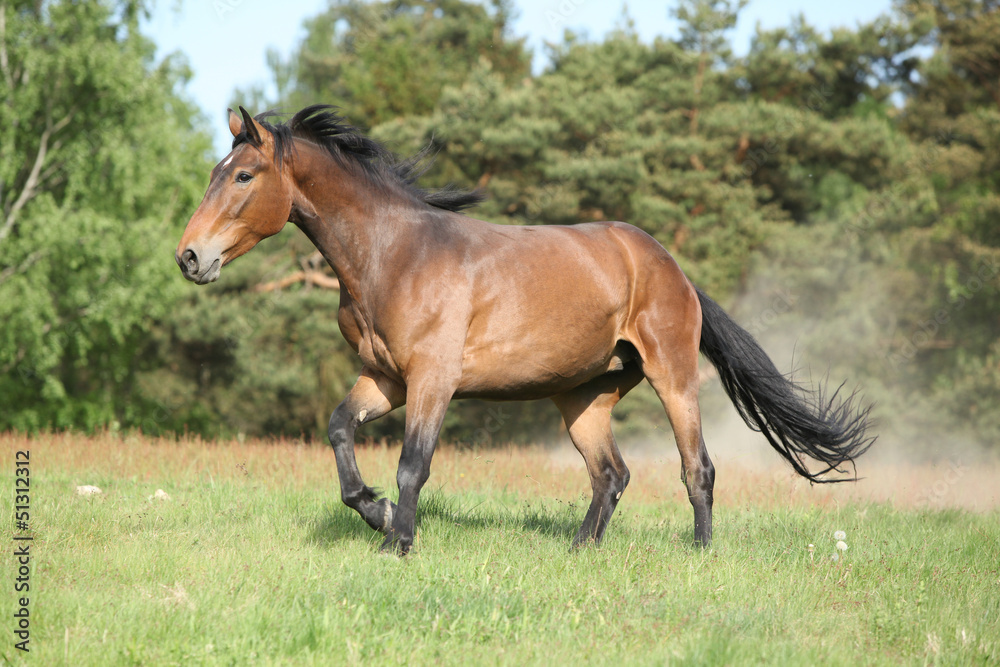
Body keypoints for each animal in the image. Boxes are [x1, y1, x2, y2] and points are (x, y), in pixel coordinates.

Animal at [176, 105, 872, 552]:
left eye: (243, 176)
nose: (190, 257)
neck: (393, 255)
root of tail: (671, 268)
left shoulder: (433, 381)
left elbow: (412, 465)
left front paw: (398, 542)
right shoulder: (386, 379)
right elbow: (340, 430)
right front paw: (375, 513)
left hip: (673, 377)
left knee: (695, 467)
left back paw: (699, 554)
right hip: (584, 397)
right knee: (610, 474)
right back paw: (580, 551)